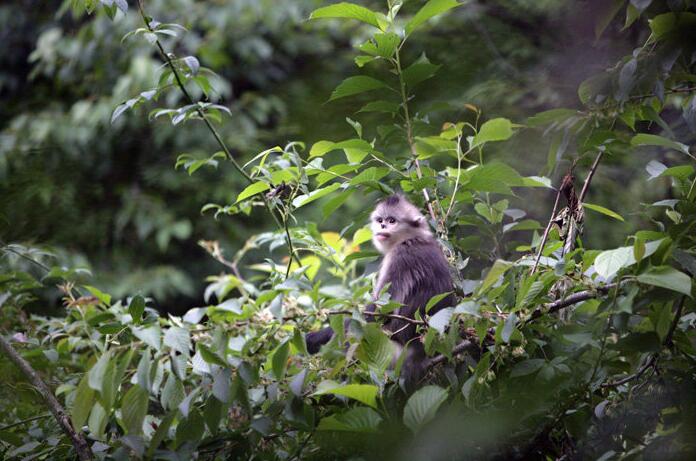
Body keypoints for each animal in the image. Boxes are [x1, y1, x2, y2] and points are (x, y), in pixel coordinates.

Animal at [304, 193, 454, 388]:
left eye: (392, 221)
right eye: (380, 220)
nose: (382, 226)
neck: (412, 238)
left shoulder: (400, 257)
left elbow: (375, 314)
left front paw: (316, 338)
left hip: (392, 355)